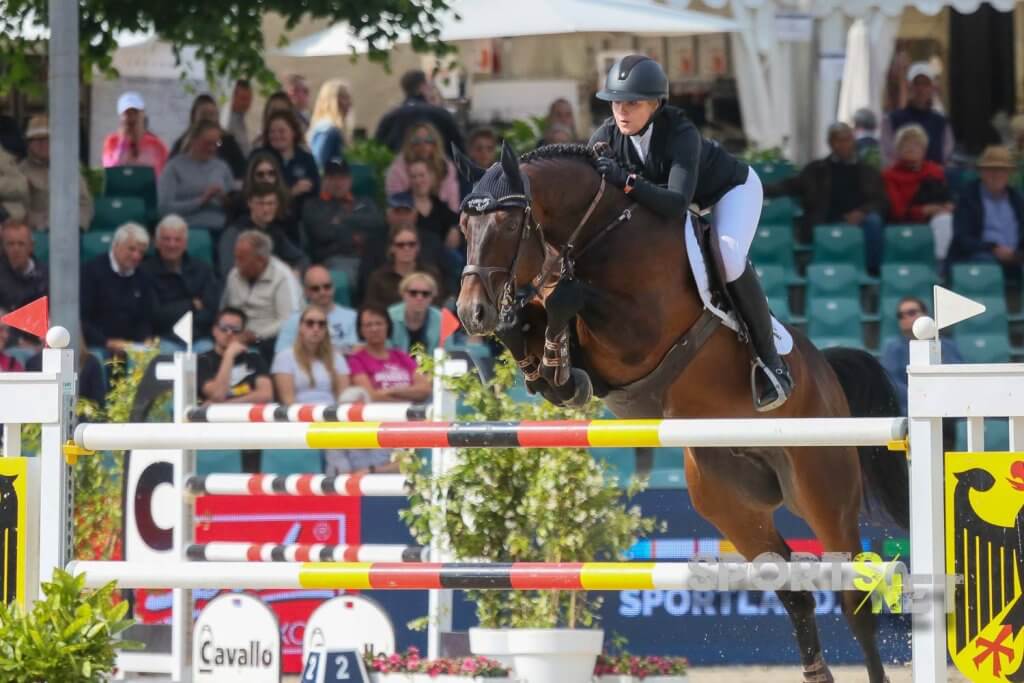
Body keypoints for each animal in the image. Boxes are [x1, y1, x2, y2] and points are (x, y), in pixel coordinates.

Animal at [452, 141, 909, 679]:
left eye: (506, 225)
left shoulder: (638, 333)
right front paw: (549, 368)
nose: (471, 314)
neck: (598, 232)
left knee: (854, 595)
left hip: (823, 488)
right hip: (731, 505)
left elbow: (570, 298)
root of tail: (827, 374)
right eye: (464, 226)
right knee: (793, 590)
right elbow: (533, 320)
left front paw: (556, 354)